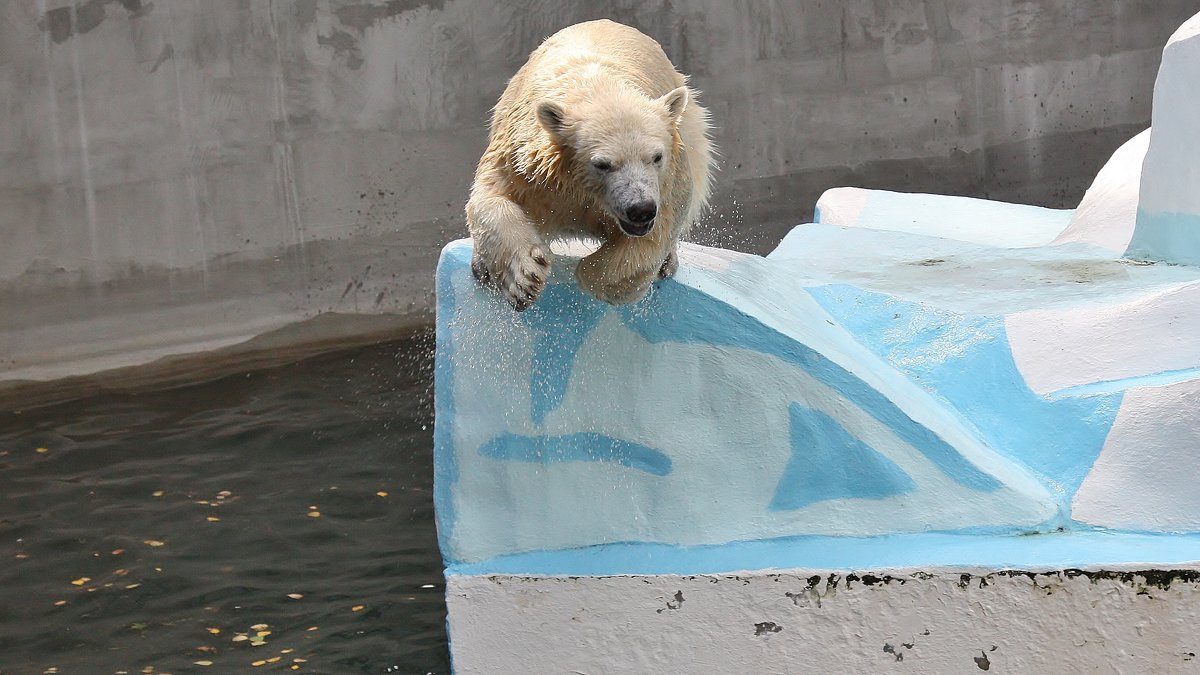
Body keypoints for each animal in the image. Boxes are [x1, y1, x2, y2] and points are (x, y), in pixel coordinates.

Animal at [465, 18, 710, 307]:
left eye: (656, 157)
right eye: (602, 164)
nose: (641, 209)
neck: (597, 87)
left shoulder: (667, 183)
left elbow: (656, 234)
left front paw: (603, 280)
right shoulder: (526, 162)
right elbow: (490, 196)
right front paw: (524, 278)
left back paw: (668, 262)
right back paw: (481, 266)